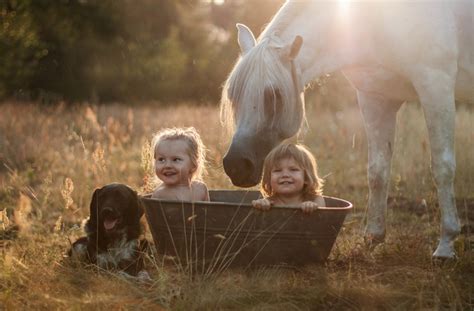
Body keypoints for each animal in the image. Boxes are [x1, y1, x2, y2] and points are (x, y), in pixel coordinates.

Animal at [220, 0, 472, 260]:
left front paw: (446, 245)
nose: (235, 165)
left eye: (274, 96)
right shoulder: (376, 98)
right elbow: (377, 172)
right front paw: (373, 237)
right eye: (233, 95)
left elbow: (442, 168)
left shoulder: (436, 87)